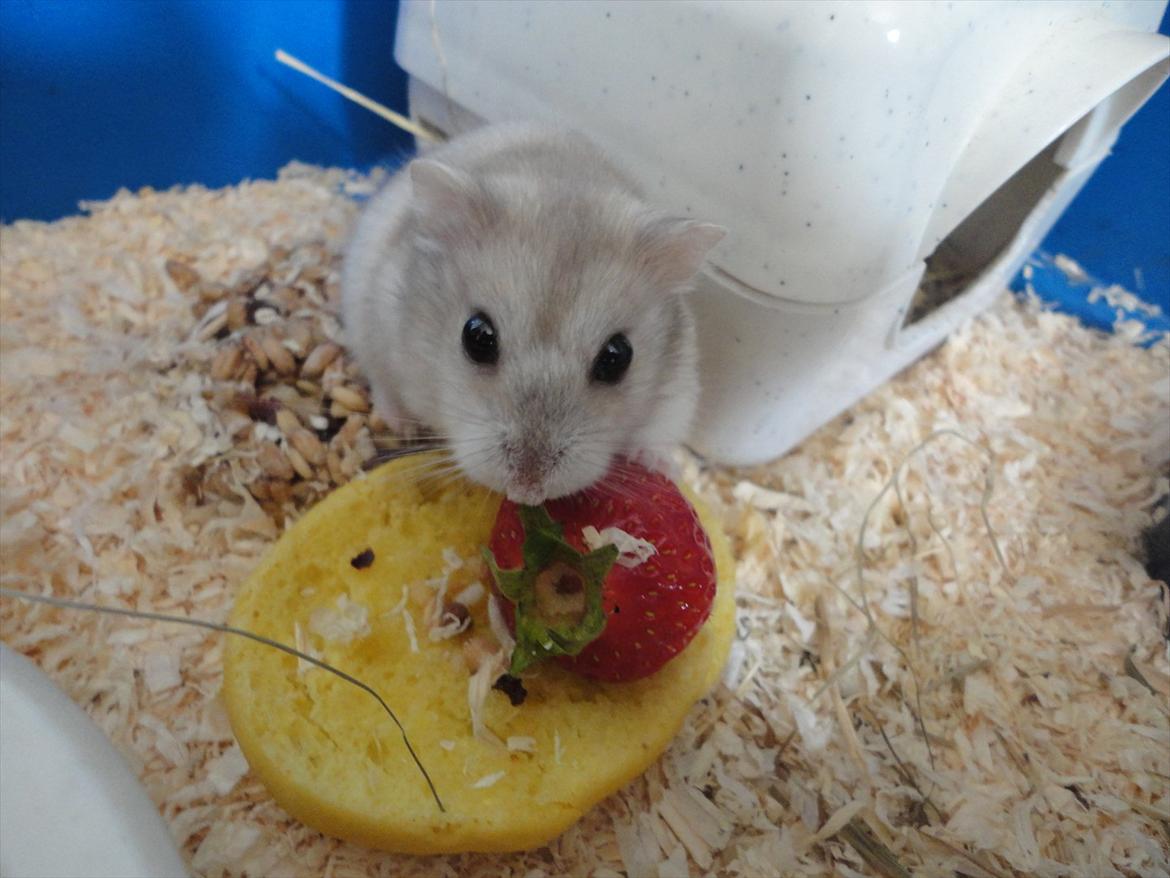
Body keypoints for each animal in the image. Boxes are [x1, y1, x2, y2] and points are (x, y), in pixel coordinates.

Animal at [341, 122, 724, 505]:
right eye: (476, 336)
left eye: (618, 357)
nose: (526, 491)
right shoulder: (379, 319)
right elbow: (383, 378)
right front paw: (404, 425)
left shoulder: (679, 387)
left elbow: (657, 432)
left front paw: (660, 464)